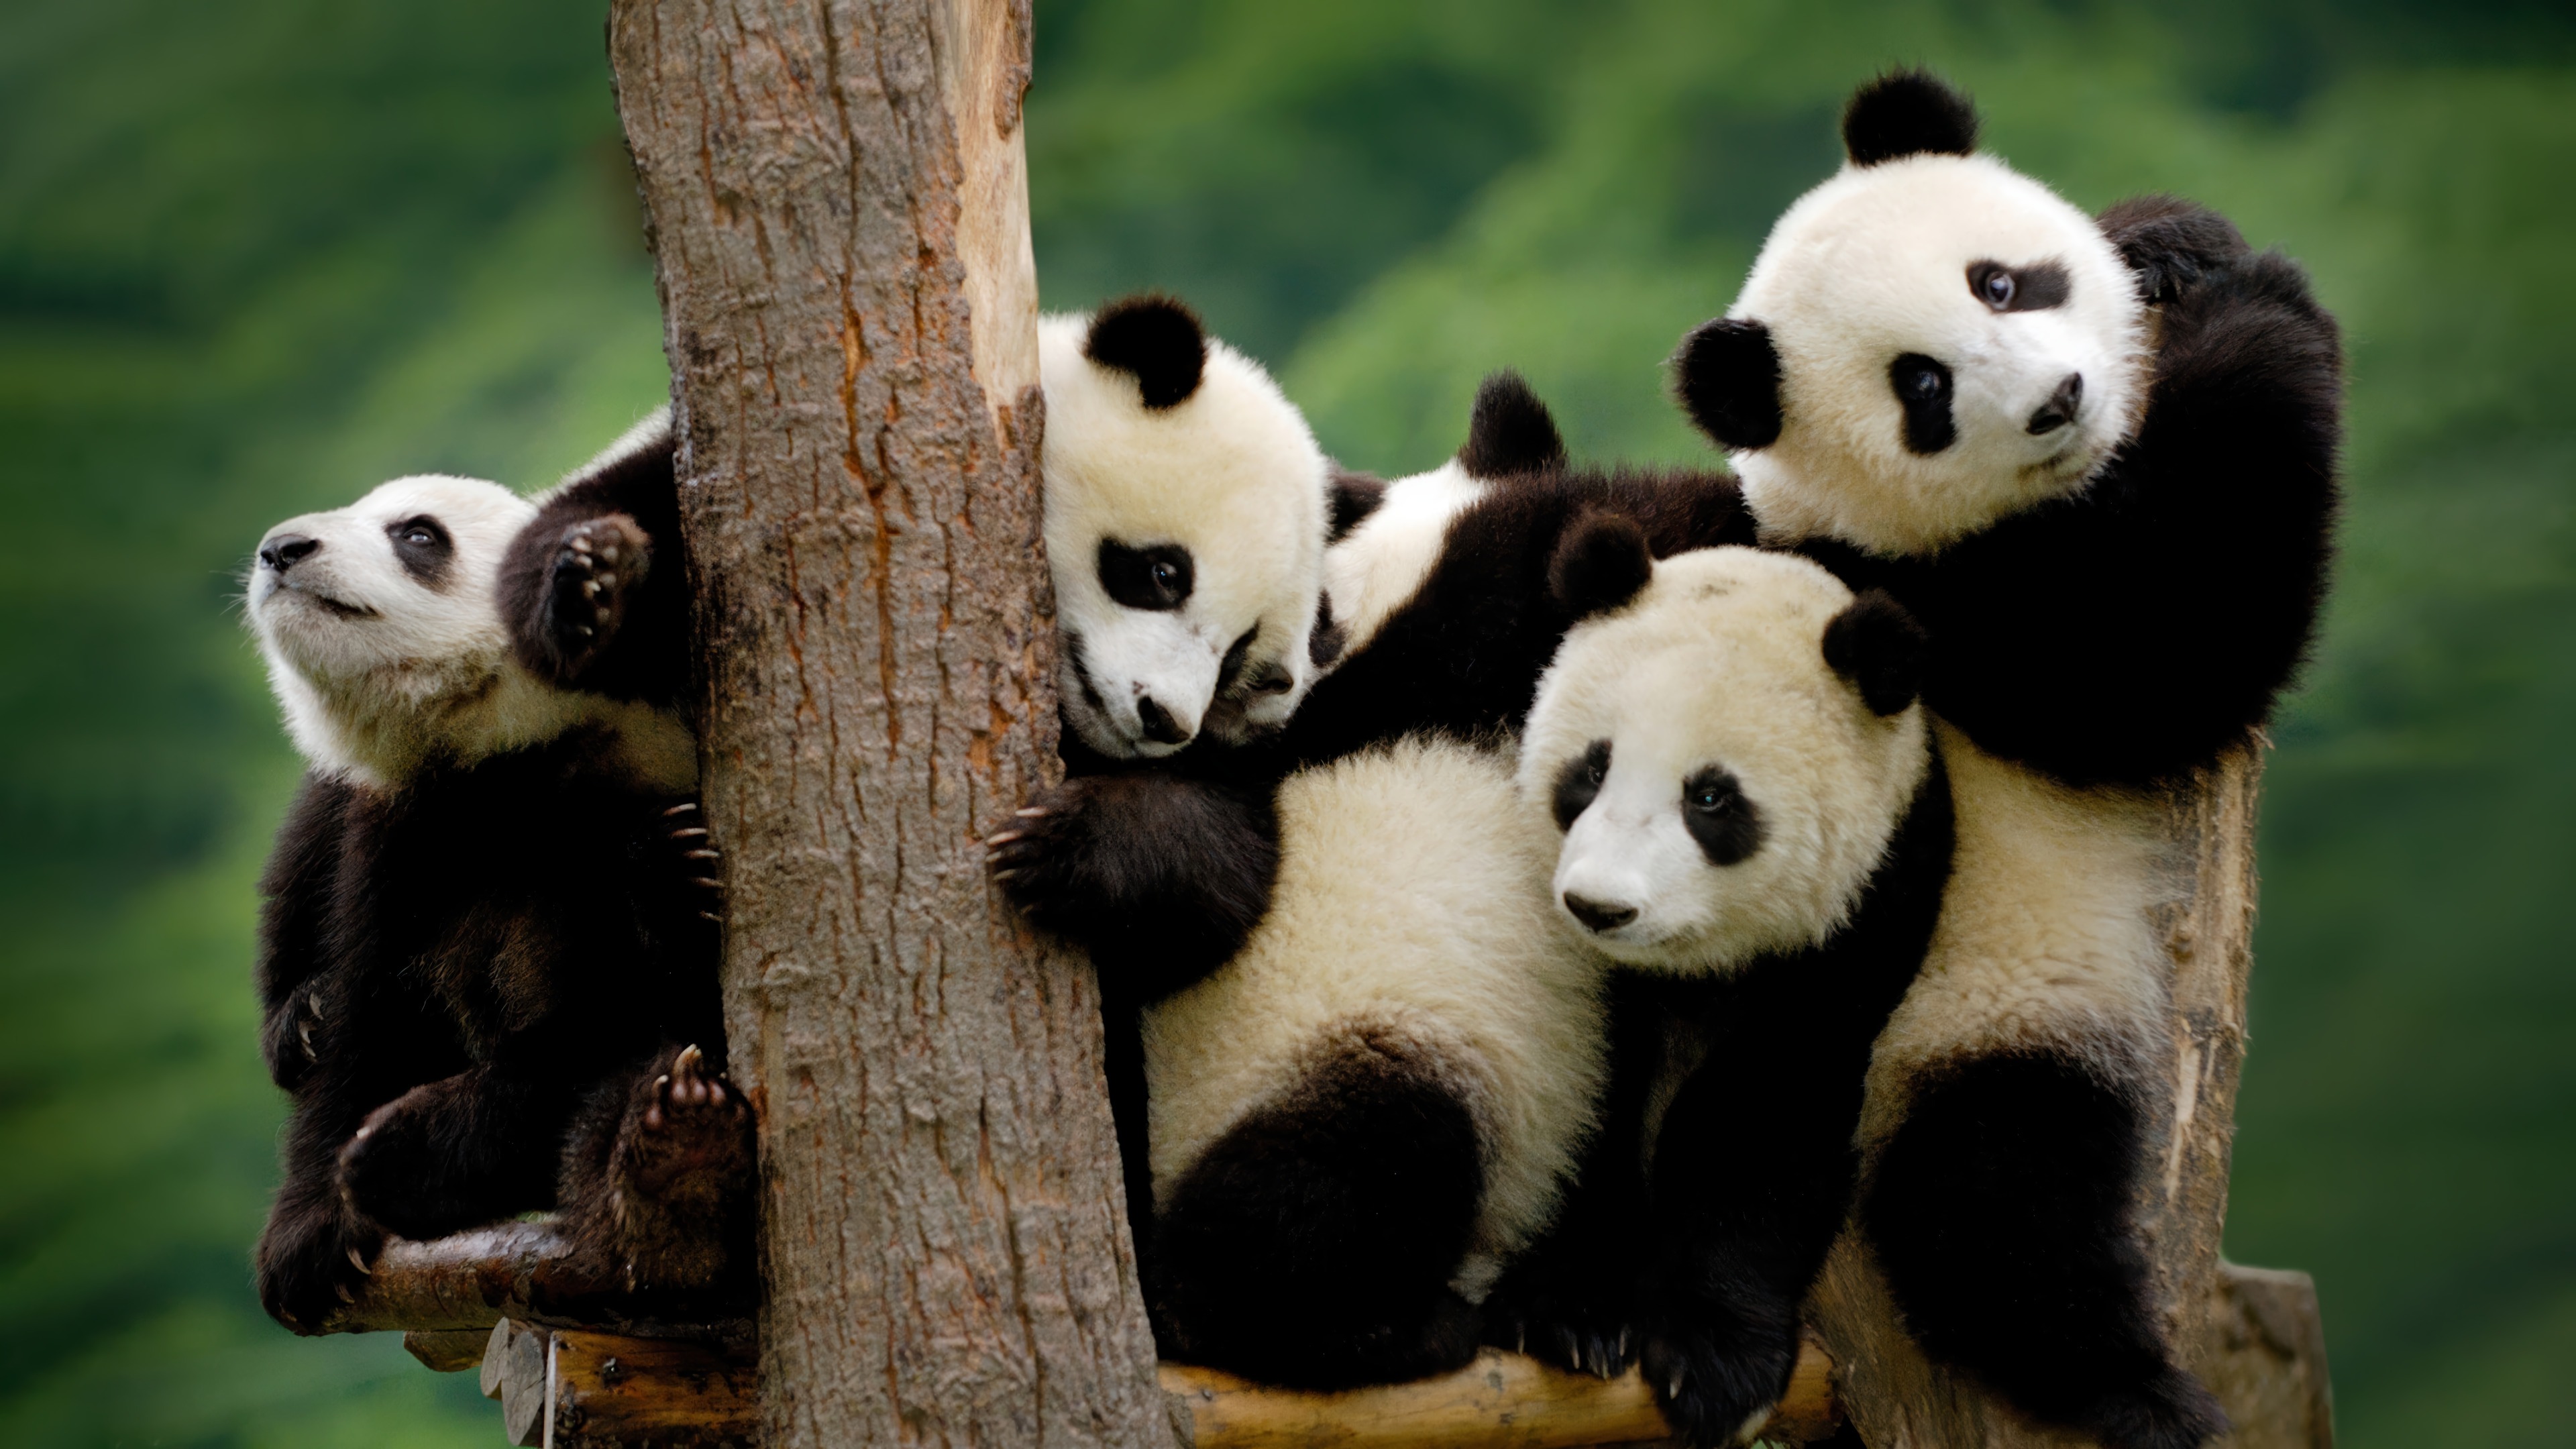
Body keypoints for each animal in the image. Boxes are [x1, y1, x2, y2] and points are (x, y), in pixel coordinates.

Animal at [246, 436, 748, 1331]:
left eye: (418, 534)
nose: (281, 549)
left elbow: (603, 1029)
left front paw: (395, 1158)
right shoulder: (411, 830)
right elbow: (370, 1013)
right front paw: (308, 1237)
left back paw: (673, 1174)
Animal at [1484, 534, 1951, 1448]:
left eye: (1710, 798)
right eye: (1590, 769)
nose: (1600, 906)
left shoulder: (1873, 905)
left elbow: (1767, 1111)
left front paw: (1713, 1362)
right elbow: (1590, 1086)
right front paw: (1570, 1309)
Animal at [1668, 71, 2341, 1449]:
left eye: (1998, 282)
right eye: (1920, 389)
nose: (2058, 401)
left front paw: (2175, 241)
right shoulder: (1938, 608)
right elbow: (2163, 654)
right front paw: (2264, 309)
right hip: (1967, 1008)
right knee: (1997, 1199)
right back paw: (2129, 1384)